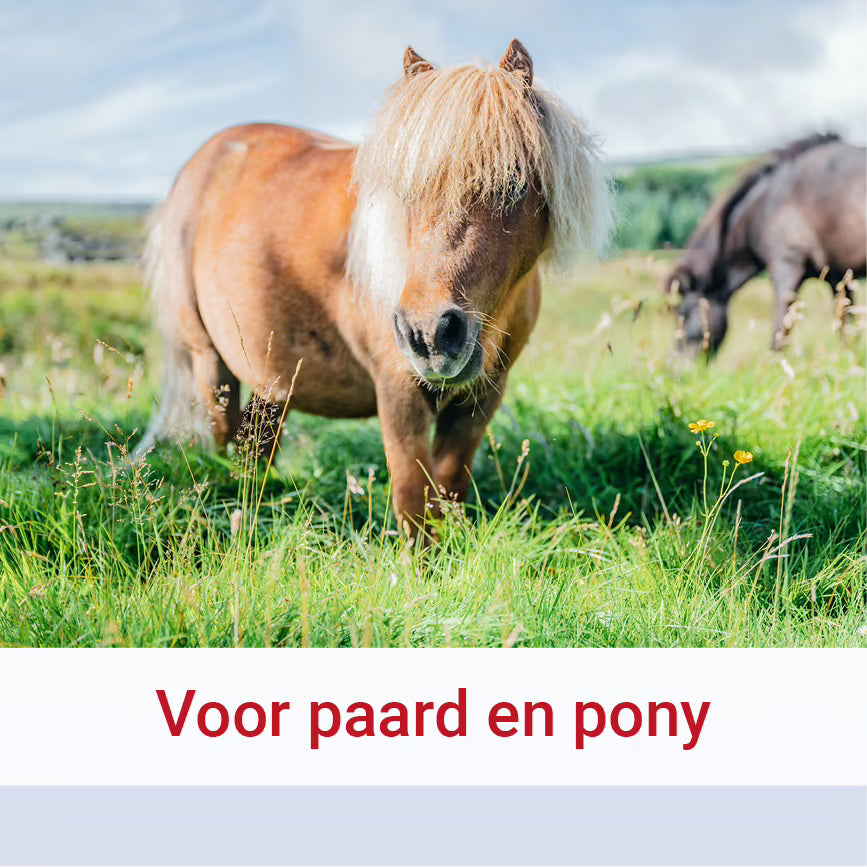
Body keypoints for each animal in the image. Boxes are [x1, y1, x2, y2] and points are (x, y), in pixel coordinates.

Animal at [137, 39, 610, 538]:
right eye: (405, 192)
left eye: (514, 182)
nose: (430, 335)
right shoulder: (397, 392)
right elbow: (414, 505)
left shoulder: (483, 397)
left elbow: (448, 492)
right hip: (210, 364)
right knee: (225, 441)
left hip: (272, 379)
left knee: (256, 448)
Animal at [663, 134, 866, 354]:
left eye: (683, 315)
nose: (673, 362)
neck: (767, 207)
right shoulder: (838, 276)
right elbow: (847, 328)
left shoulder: (787, 266)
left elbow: (778, 336)